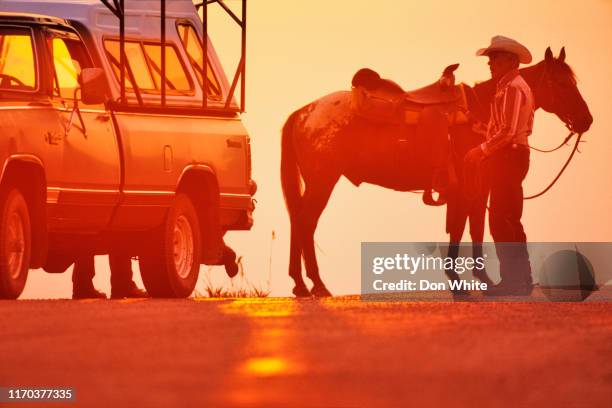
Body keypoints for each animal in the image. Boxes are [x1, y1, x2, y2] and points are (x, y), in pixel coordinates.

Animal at [282, 47, 592, 296]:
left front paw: (480, 280)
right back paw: (315, 284)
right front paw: (463, 282)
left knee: (299, 221)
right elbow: (462, 230)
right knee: (305, 223)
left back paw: (301, 285)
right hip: (322, 181)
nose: (586, 120)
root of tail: (303, 112)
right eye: (561, 83)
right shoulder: (467, 188)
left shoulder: (476, 188)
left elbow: (472, 229)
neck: (482, 110)